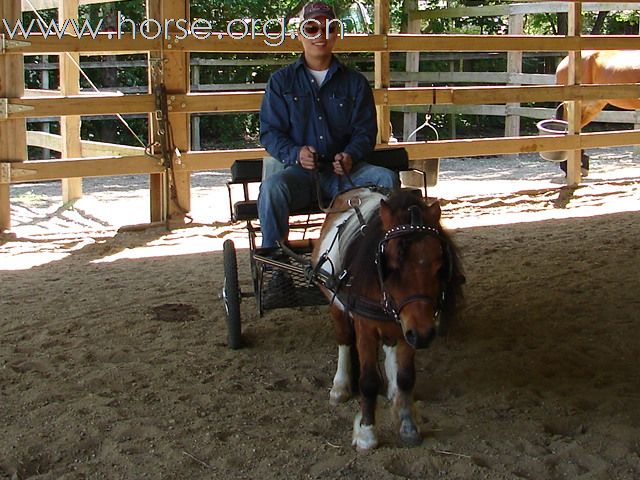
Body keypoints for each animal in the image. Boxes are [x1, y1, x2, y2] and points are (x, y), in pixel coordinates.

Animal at [310, 189, 460, 452]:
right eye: (390, 263)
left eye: (439, 264)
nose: (424, 335)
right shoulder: (366, 326)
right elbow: (368, 380)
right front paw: (366, 433)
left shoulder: (411, 326)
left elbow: (406, 377)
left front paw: (407, 424)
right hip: (335, 305)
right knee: (344, 340)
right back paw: (340, 386)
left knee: (390, 346)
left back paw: (392, 389)